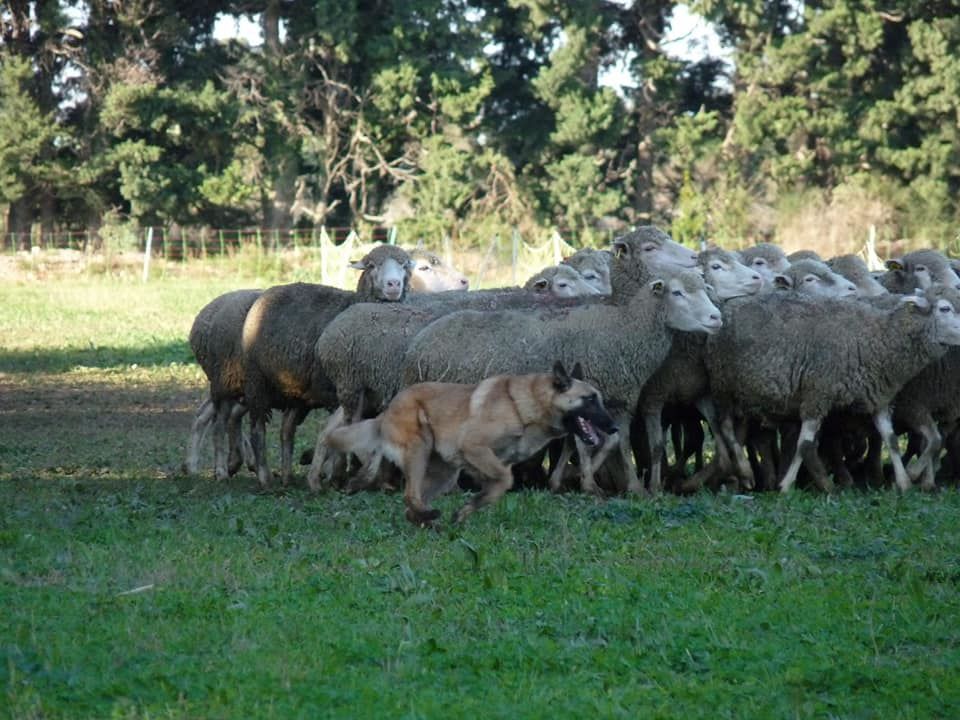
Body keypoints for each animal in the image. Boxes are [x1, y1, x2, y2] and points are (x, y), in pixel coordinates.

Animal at [326, 362, 620, 524]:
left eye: (599, 399)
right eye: (590, 399)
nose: (615, 427)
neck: (524, 406)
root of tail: (386, 412)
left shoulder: (491, 463)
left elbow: (496, 487)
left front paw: (468, 509)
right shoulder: (474, 447)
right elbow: (505, 481)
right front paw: (469, 507)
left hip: (444, 475)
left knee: (411, 504)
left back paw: (427, 522)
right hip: (419, 451)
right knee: (410, 495)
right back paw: (429, 517)